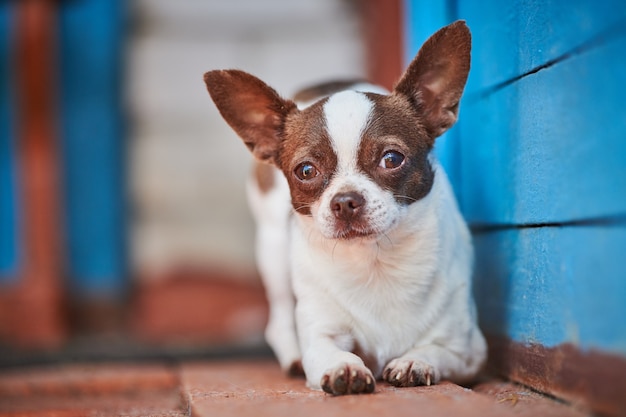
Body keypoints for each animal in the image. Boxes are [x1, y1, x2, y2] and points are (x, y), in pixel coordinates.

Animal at [202, 21, 486, 394]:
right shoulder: (321, 333)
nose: (345, 200)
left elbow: (436, 349)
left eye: (391, 159)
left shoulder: (469, 352)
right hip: (272, 251)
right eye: (306, 171)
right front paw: (344, 367)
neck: (375, 262)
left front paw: (414, 361)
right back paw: (292, 356)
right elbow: (327, 350)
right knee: (279, 318)